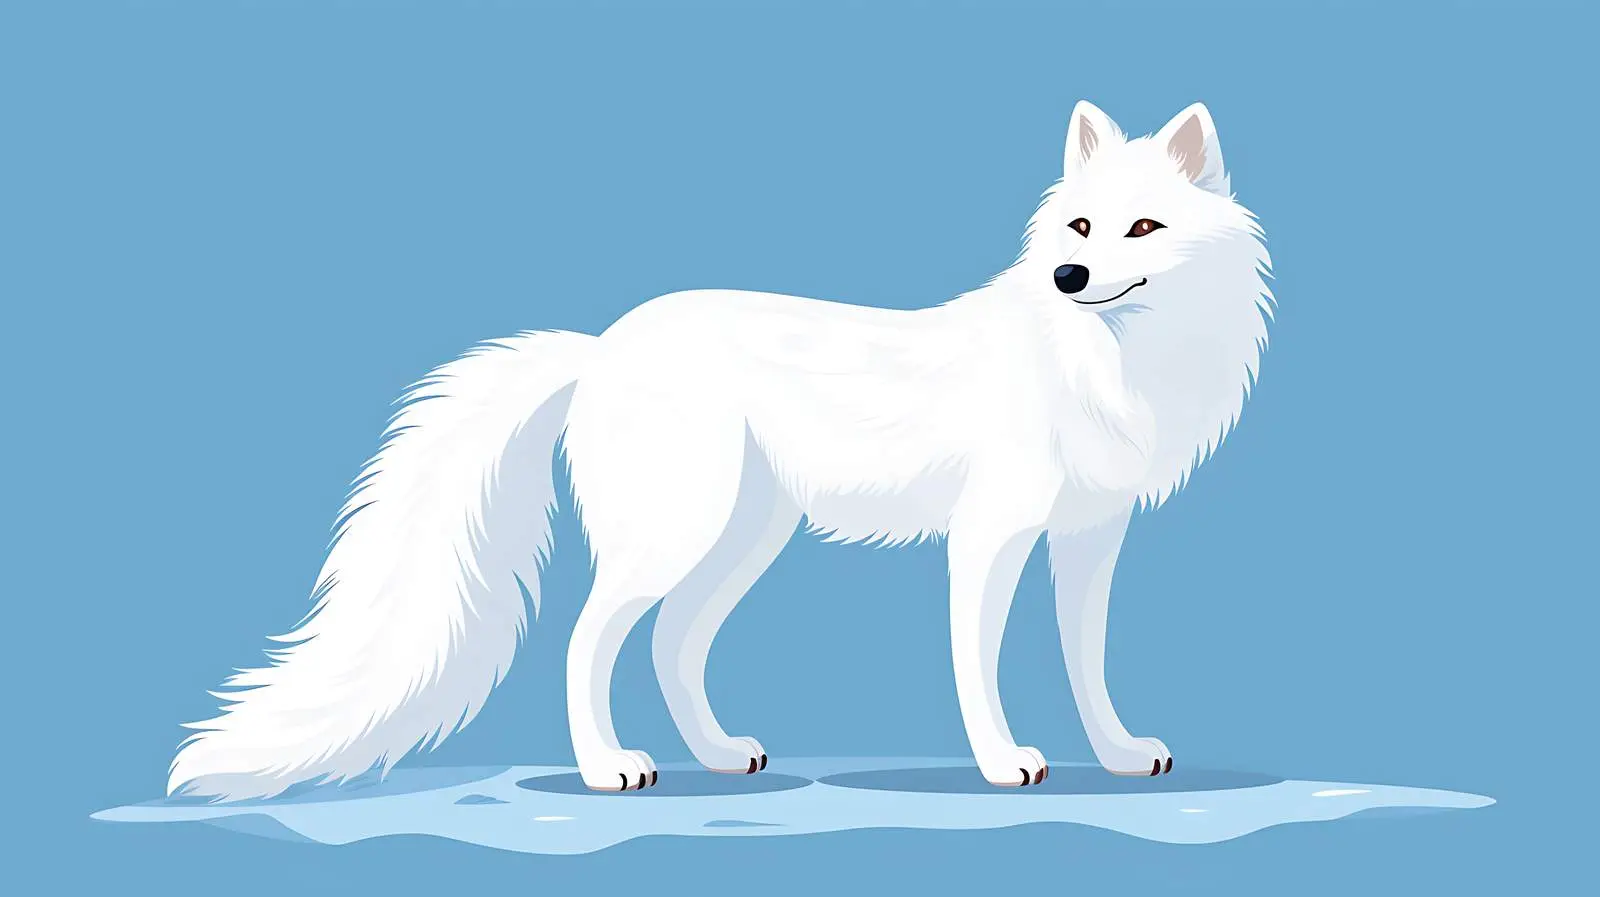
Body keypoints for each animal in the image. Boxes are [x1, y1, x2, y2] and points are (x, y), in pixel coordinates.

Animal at [169, 100, 1272, 799]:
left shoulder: (1090, 540)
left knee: (669, 643)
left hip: (741, 540)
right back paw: (608, 768)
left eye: (1142, 226)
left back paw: (717, 754)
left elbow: (1088, 663)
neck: (1104, 368)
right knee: (588, 642)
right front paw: (1005, 764)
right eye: (1080, 225)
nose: (1068, 276)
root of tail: (600, 346)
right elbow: (980, 666)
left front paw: (1120, 754)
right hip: (676, 536)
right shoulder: (988, 539)